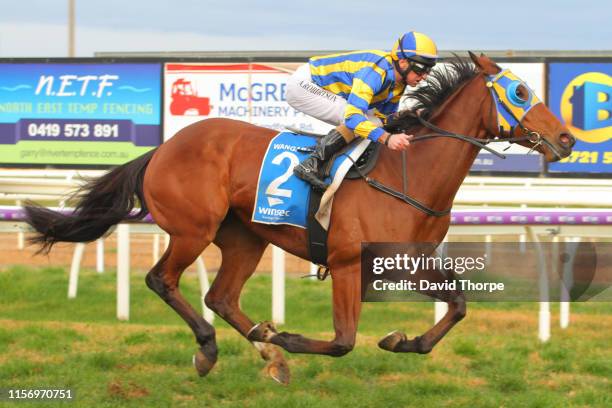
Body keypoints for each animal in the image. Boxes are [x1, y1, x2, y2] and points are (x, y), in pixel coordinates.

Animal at [23, 51, 576, 382]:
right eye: (520, 93)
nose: (568, 138)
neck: (407, 175)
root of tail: (163, 147)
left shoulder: (405, 262)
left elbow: (458, 305)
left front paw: (404, 339)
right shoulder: (348, 261)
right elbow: (343, 341)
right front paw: (287, 336)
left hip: (246, 238)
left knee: (219, 296)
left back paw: (264, 346)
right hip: (193, 229)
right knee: (163, 280)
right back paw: (214, 348)